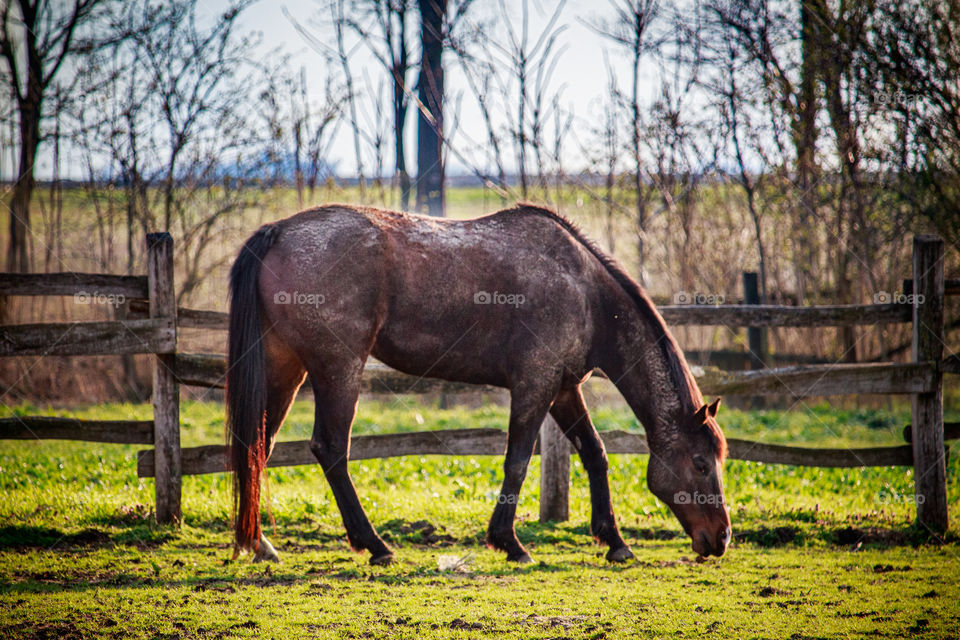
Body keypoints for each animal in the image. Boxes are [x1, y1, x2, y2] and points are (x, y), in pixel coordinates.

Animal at [226, 203, 730, 565]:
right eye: (701, 463)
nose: (722, 538)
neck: (584, 291)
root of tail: (280, 231)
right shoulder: (534, 386)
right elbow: (517, 462)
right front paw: (510, 543)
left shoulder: (564, 389)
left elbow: (595, 454)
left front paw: (614, 541)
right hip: (338, 370)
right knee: (331, 449)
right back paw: (376, 546)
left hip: (285, 369)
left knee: (258, 445)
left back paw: (258, 544)